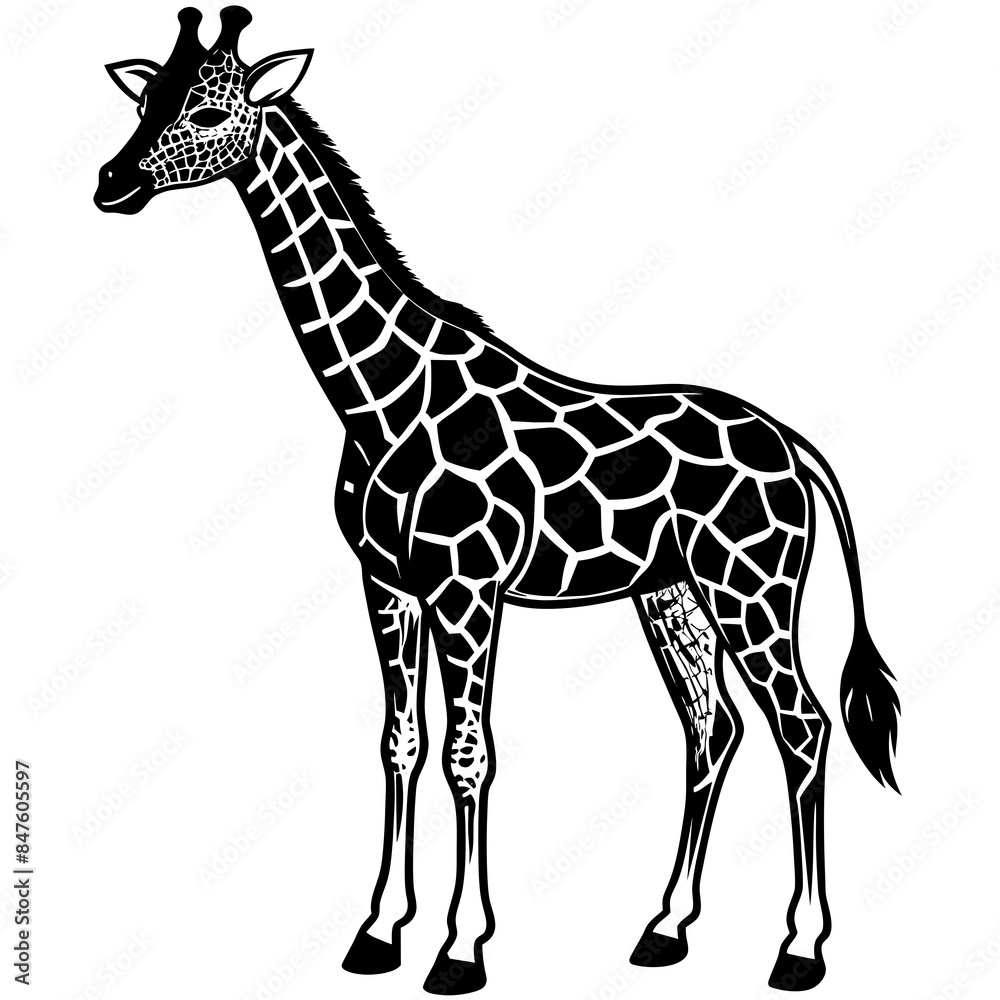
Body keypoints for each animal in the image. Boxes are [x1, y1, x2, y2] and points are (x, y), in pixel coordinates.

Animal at [94, 8, 901, 993]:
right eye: (149, 101)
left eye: (211, 111)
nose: (112, 183)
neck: (379, 396)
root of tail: (791, 444)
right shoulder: (388, 585)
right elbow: (399, 743)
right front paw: (378, 933)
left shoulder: (467, 588)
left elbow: (467, 754)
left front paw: (459, 949)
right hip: (673, 595)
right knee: (712, 731)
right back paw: (665, 928)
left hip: (753, 587)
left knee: (804, 727)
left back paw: (800, 948)